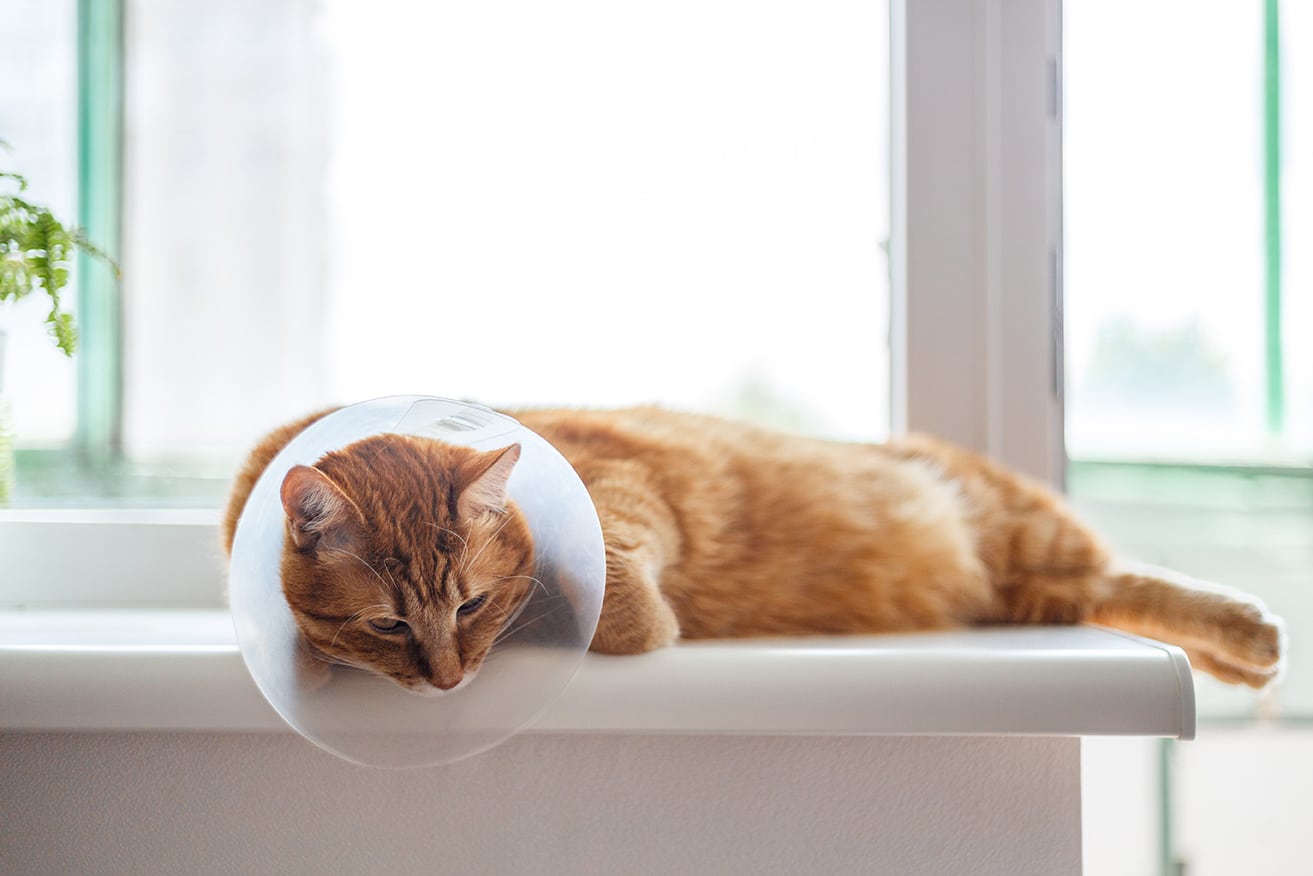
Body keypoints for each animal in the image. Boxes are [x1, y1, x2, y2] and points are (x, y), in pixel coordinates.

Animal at [223, 407, 1281, 693]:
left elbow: (620, 606)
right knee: (1096, 587)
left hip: (1017, 524)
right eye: (387, 625)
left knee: (1117, 570)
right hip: (1029, 587)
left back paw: (1248, 635)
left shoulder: (622, 504)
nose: (446, 682)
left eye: (471, 605)